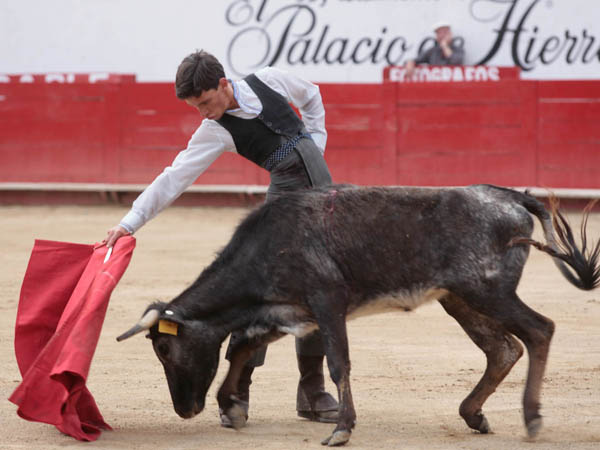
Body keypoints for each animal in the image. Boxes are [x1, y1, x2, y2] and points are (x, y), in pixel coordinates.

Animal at [115, 185, 596, 444]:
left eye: (163, 348)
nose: (185, 410)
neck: (268, 244)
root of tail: (508, 196)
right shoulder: (287, 310)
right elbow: (242, 349)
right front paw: (230, 406)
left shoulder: (327, 302)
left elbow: (337, 362)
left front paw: (342, 429)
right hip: (459, 298)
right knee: (503, 349)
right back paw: (473, 414)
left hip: (489, 290)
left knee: (539, 331)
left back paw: (531, 418)